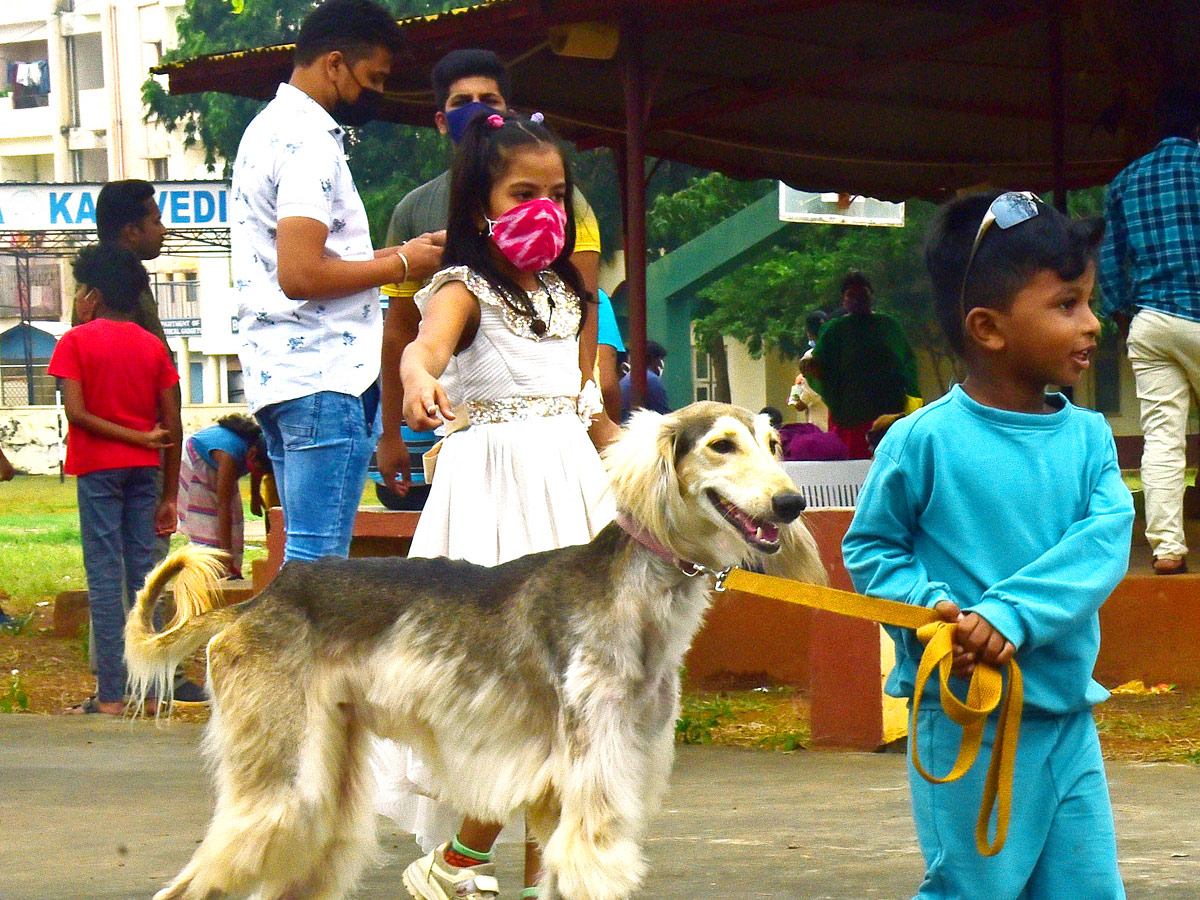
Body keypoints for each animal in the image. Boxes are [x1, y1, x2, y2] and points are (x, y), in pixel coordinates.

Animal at [129, 403, 825, 900]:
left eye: (773, 445)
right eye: (721, 445)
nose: (790, 504)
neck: (637, 601)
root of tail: (259, 599)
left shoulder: (583, 793)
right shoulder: (593, 801)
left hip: (323, 788)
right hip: (281, 793)